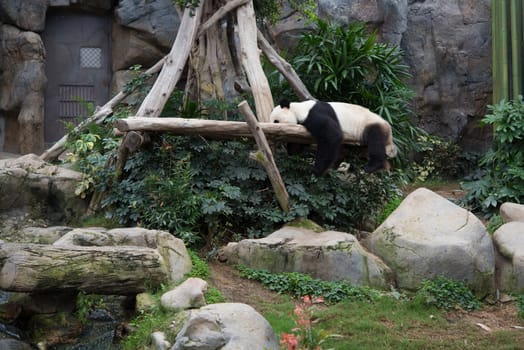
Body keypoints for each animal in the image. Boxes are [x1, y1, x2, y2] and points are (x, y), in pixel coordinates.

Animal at [270, 99, 398, 176]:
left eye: (276, 121)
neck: (299, 108)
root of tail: (389, 134)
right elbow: (298, 145)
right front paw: (292, 151)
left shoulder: (314, 114)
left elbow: (332, 136)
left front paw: (317, 171)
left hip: (371, 125)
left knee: (375, 140)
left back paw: (374, 166)